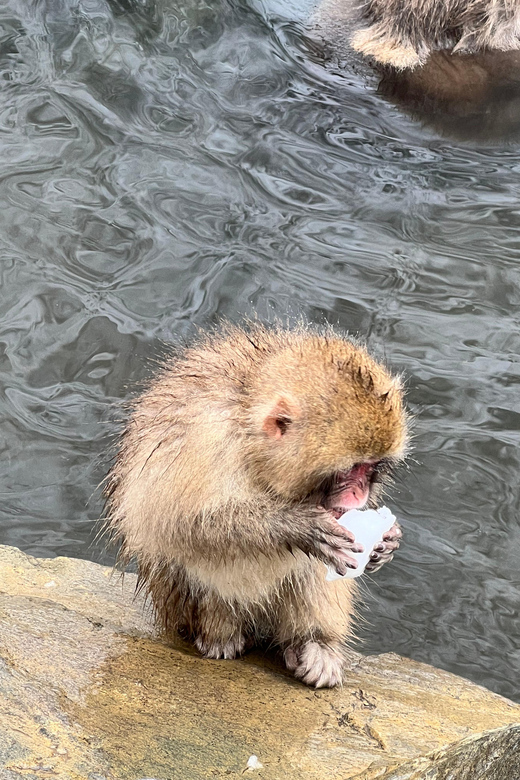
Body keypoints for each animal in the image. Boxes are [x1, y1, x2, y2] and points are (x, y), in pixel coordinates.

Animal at [104, 323, 408, 688]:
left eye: (371, 469)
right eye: (350, 470)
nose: (359, 497)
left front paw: (387, 542)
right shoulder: (204, 441)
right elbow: (182, 524)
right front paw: (298, 526)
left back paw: (314, 645)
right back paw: (220, 636)